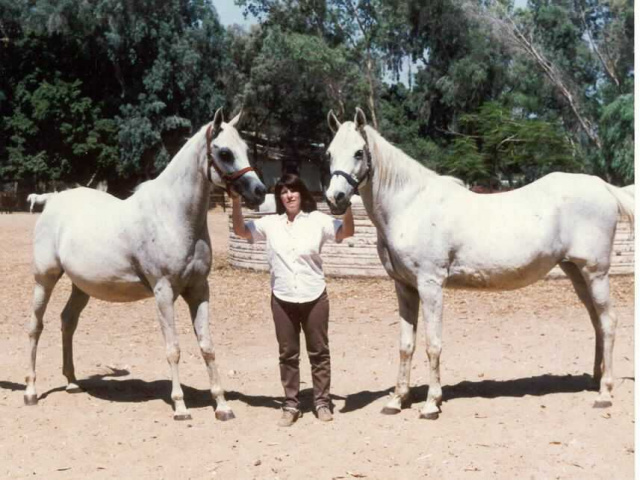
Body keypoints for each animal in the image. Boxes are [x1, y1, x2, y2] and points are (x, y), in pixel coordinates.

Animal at [26, 109, 266, 420]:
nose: (259, 191)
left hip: (81, 287)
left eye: (246, 149)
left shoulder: (199, 290)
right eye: (225, 152)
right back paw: (31, 392)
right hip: (45, 279)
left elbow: (207, 346)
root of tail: (52, 199)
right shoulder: (164, 293)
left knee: (67, 322)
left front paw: (222, 406)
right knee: (36, 326)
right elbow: (173, 348)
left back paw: (72, 382)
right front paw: (180, 407)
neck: (174, 216)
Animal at [324, 108, 636, 420]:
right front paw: (396, 400)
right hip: (576, 272)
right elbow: (406, 345)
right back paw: (596, 380)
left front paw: (431, 404)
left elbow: (432, 344)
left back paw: (604, 394)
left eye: (359, 152)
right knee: (596, 321)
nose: (334, 198)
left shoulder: (431, 285)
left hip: (596, 273)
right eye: (329, 153)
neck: (410, 206)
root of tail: (603, 186)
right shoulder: (404, 287)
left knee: (608, 321)